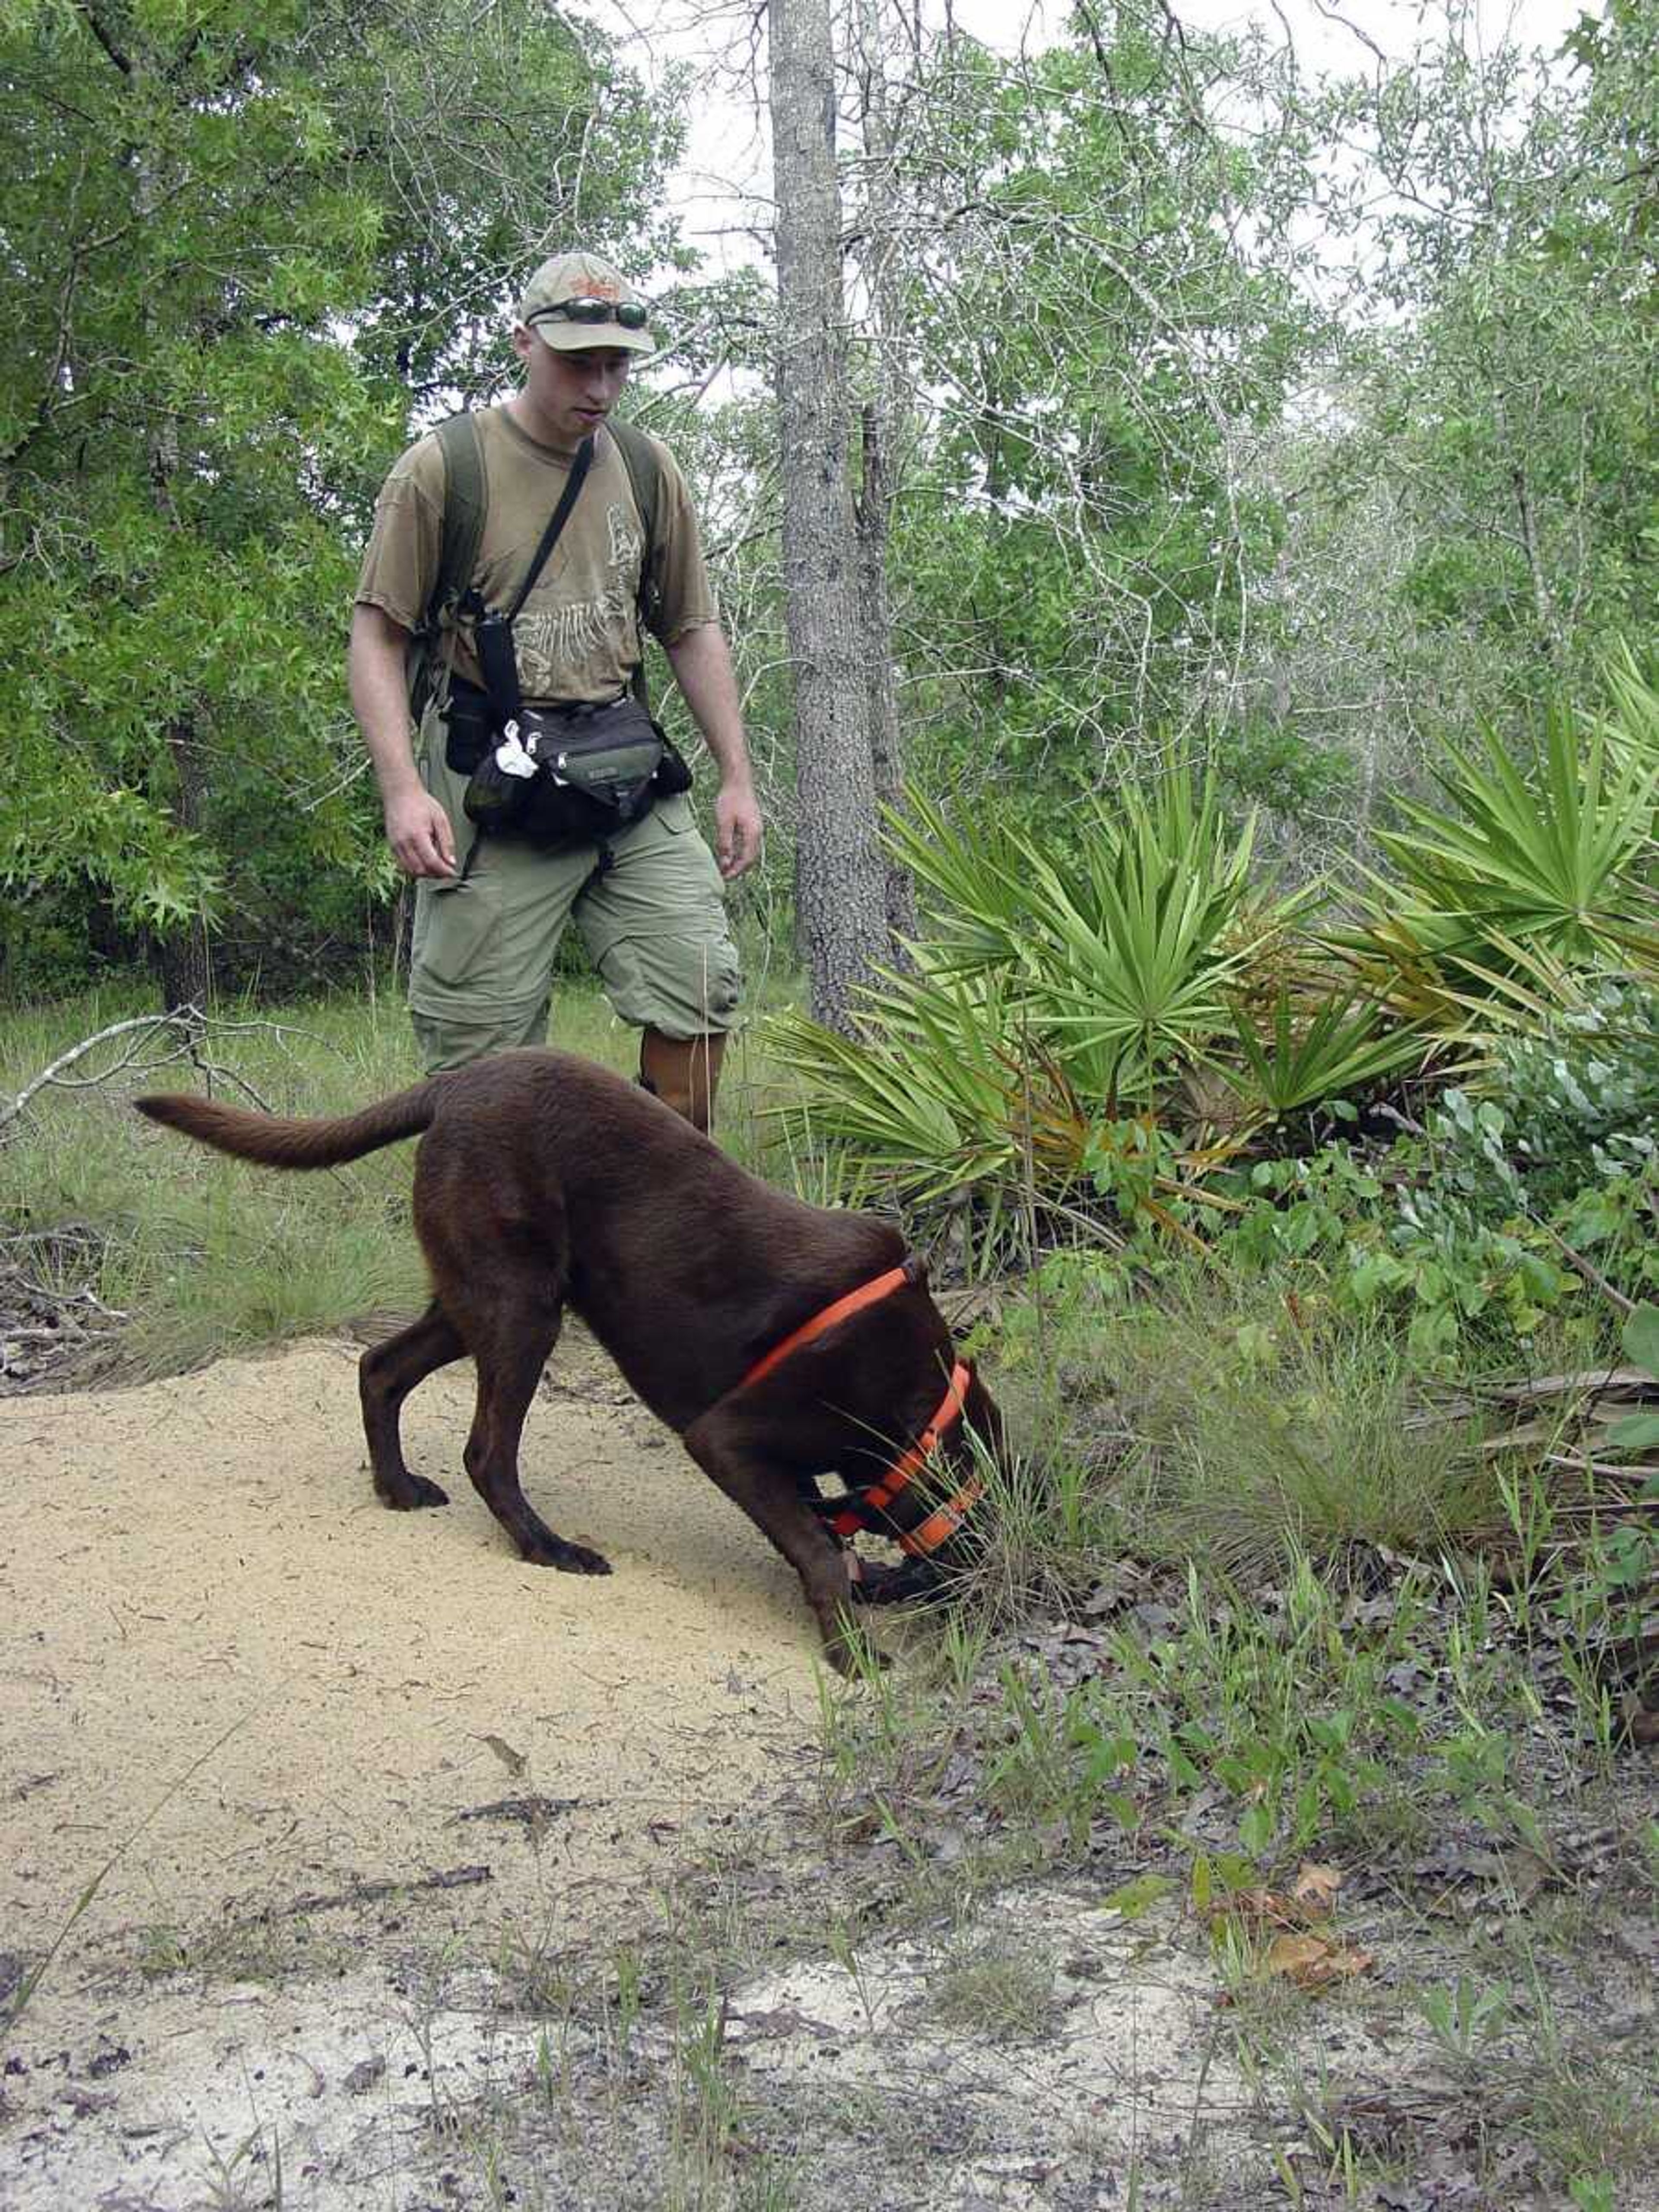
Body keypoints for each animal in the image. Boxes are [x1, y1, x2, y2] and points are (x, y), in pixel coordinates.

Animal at [137, 1044, 1008, 1663]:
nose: (1002, 1600)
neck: (917, 1402)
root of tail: (452, 1086)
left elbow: (818, 1534)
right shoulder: (726, 1438)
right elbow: (819, 1551)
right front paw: (851, 1655)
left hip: (480, 1297)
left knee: (380, 1369)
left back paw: (398, 1489)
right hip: (522, 1309)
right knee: (486, 1452)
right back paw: (549, 1548)